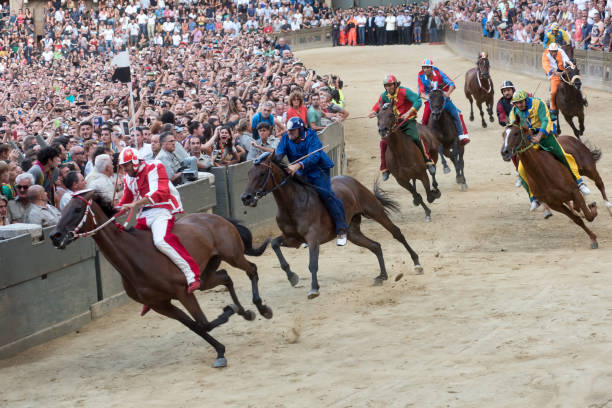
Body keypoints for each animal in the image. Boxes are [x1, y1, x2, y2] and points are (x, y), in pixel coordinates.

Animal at [51, 190, 272, 368]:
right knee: (226, 277)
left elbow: (204, 323)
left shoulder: (183, 292)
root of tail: (215, 217)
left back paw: (262, 308)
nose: (55, 235)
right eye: (62, 209)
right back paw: (246, 312)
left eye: (77, 209)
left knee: (252, 270)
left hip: (232, 255)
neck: (136, 256)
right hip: (206, 275)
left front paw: (229, 311)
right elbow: (197, 326)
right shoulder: (160, 304)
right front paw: (220, 350)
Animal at [241, 153, 424, 300]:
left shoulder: (313, 238)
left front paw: (314, 289)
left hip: (375, 211)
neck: (293, 203)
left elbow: (312, 263)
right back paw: (382, 276)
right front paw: (292, 276)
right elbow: (274, 244)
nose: (246, 197)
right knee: (376, 246)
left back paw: (417, 264)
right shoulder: (293, 239)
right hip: (353, 232)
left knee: (397, 233)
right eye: (248, 174)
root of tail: (350, 180)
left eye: (262, 173)